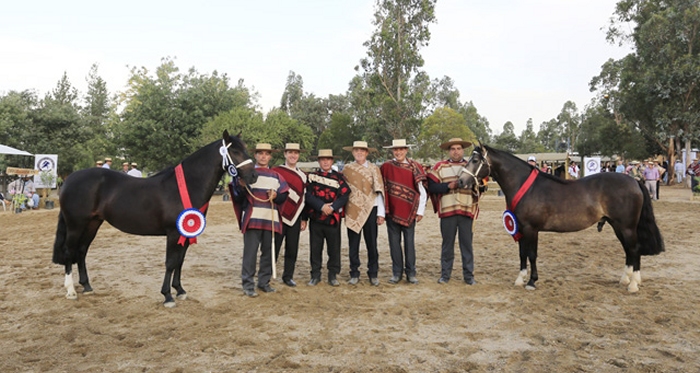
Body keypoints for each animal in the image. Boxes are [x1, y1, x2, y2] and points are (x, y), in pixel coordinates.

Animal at [52, 130, 258, 306]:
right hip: (76, 225)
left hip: (92, 224)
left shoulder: (185, 233)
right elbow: (170, 262)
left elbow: (180, 261)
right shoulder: (174, 233)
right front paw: (167, 296)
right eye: (234, 150)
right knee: (70, 252)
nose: (254, 175)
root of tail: (69, 179)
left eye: (245, 148)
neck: (186, 185)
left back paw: (87, 287)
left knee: (81, 252)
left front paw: (180, 290)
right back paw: (71, 291)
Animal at [456, 144, 664, 292]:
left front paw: (532, 282)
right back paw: (625, 279)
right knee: (629, 251)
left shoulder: (531, 229)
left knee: (634, 249)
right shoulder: (520, 227)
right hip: (618, 226)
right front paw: (520, 279)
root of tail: (634, 181)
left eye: (475, 159)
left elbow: (532, 254)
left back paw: (633, 285)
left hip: (627, 227)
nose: (460, 181)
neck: (526, 187)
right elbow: (522, 254)